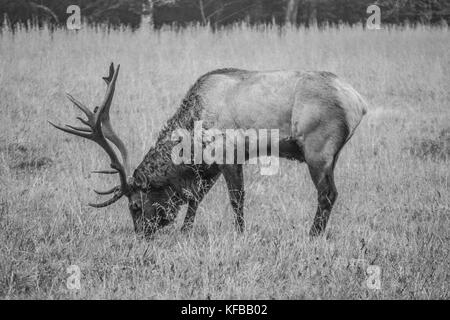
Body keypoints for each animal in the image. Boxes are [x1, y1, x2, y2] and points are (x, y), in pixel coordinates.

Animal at [50, 63, 366, 238]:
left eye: (135, 206)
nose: (141, 234)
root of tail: (358, 101)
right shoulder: (210, 166)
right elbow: (195, 199)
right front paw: (185, 231)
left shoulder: (228, 153)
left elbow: (236, 199)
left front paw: (240, 234)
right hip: (332, 154)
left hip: (317, 148)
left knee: (327, 193)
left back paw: (312, 235)